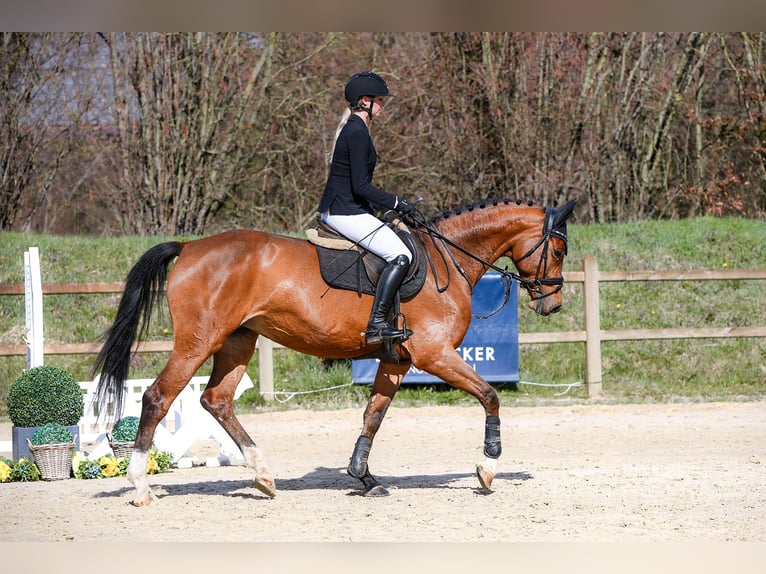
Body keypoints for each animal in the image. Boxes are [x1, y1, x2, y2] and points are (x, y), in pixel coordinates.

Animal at [93, 198, 576, 505]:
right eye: (558, 248)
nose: (552, 304)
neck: (448, 259)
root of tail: (190, 246)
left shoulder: (397, 360)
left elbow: (373, 416)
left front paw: (363, 477)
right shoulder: (434, 355)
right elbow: (490, 396)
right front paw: (487, 467)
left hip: (237, 341)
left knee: (217, 399)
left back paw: (263, 476)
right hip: (199, 340)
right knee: (158, 397)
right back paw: (140, 487)